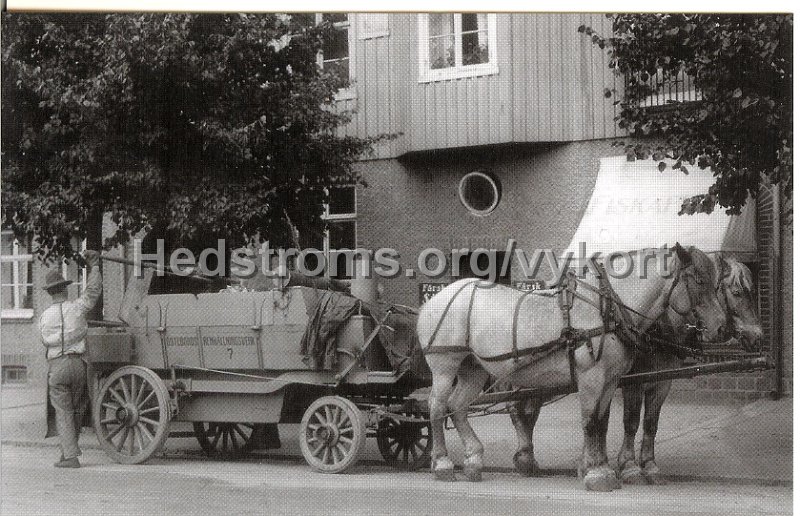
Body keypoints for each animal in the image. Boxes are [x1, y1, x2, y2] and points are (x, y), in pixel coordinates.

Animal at [416, 246, 728, 492]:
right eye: (699, 280)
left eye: (717, 283)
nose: (722, 327)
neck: (608, 307)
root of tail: (435, 299)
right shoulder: (592, 377)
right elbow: (590, 422)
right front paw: (596, 475)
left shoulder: (611, 380)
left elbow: (601, 423)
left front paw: (600, 468)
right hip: (445, 366)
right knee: (437, 407)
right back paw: (442, 464)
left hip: (474, 368)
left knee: (458, 406)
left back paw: (473, 461)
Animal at [510, 256, 760, 486]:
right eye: (737, 292)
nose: (758, 336)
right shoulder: (632, 381)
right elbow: (629, 421)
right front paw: (628, 466)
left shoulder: (661, 382)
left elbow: (649, 422)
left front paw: (647, 465)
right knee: (519, 410)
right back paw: (525, 458)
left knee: (527, 409)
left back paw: (527, 459)